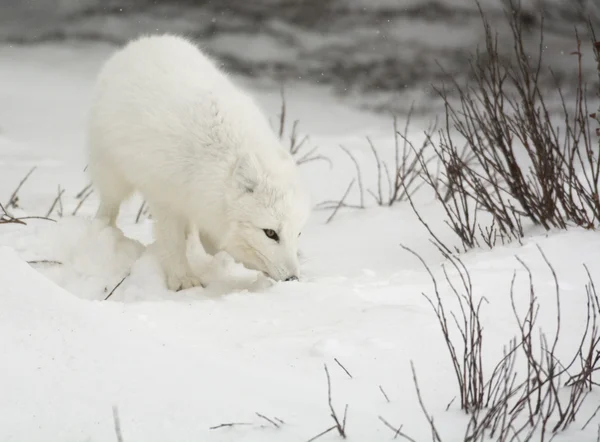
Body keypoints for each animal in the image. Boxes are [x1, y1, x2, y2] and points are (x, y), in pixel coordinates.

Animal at [86, 33, 312, 290]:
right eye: (270, 233)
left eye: (298, 234)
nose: (293, 279)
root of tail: (144, 41)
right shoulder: (165, 199)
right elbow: (173, 244)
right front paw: (183, 281)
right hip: (111, 174)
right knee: (108, 206)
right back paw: (103, 234)